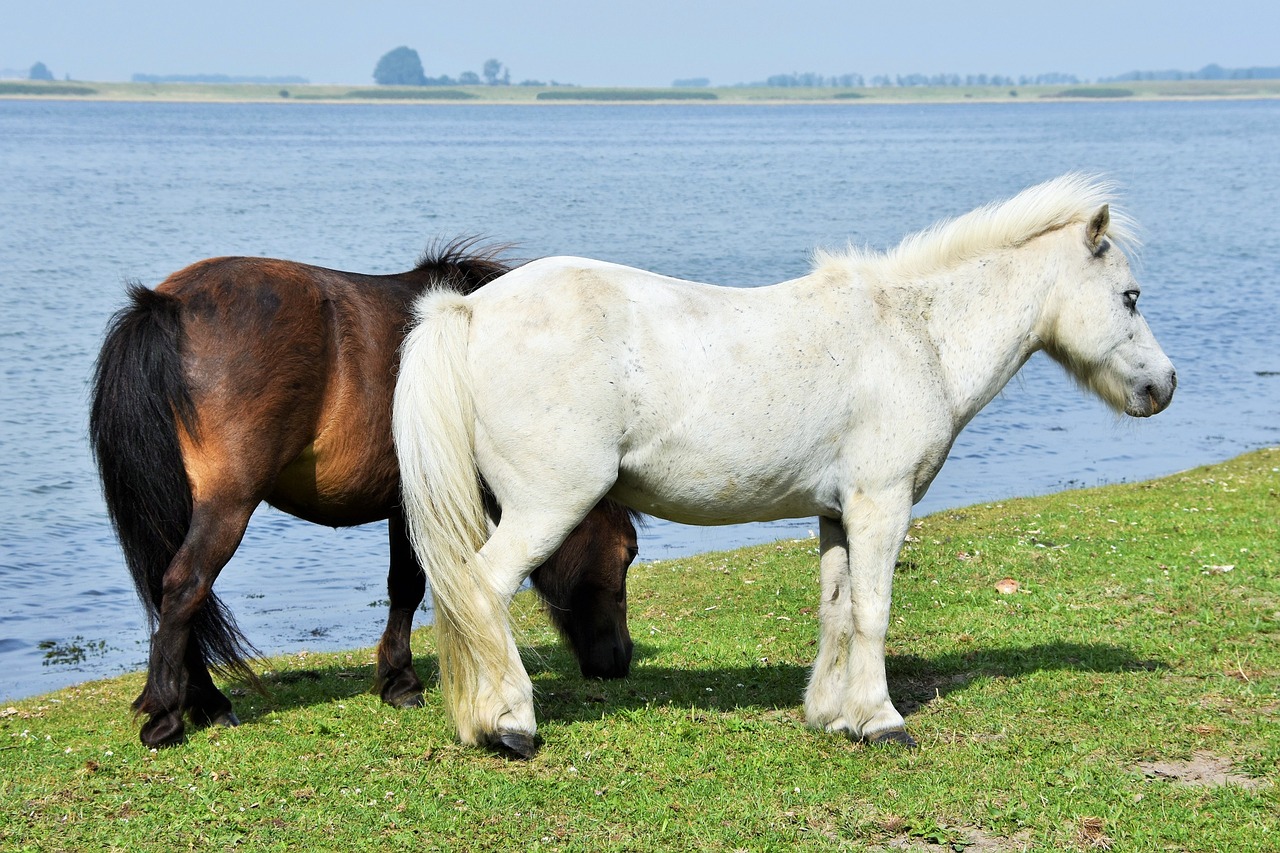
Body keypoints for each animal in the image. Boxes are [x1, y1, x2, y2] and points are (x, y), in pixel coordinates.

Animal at [90, 239, 640, 750]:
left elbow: (404, 587)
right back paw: (169, 715)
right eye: (629, 553)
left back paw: (202, 702)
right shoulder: (417, 503)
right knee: (186, 587)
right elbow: (408, 586)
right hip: (227, 505)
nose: (620, 659)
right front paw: (401, 682)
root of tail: (166, 305)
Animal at [391, 175, 1177, 758]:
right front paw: (883, 720)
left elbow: (838, 610)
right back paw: (510, 726)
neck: (915, 334)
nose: (1163, 386)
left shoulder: (836, 511)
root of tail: (469, 310)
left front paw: (834, 715)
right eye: (1130, 297)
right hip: (545, 508)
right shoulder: (881, 503)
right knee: (481, 591)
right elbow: (874, 610)